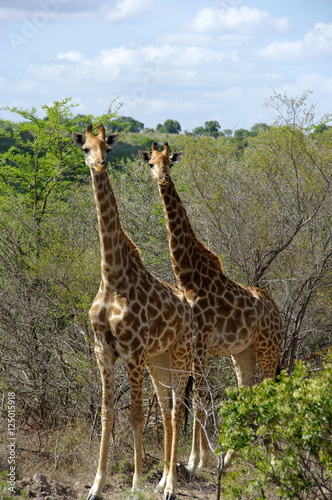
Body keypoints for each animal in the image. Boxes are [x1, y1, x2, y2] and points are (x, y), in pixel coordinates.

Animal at [73, 126, 197, 500]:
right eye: (85, 148)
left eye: (107, 148)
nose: (99, 164)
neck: (113, 276)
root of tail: (189, 306)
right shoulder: (103, 350)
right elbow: (107, 414)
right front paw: (96, 486)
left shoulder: (132, 351)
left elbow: (137, 416)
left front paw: (136, 483)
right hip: (159, 360)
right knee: (168, 409)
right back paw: (163, 480)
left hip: (182, 353)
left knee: (175, 410)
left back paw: (169, 486)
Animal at [139, 142, 284, 472]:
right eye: (151, 163)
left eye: (169, 163)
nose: (162, 178)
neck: (188, 276)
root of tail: (277, 311)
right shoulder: (195, 344)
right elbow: (198, 397)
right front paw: (201, 458)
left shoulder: (202, 341)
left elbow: (200, 398)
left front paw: (196, 460)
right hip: (242, 353)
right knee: (246, 393)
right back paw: (229, 459)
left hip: (269, 348)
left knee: (269, 393)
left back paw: (272, 460)